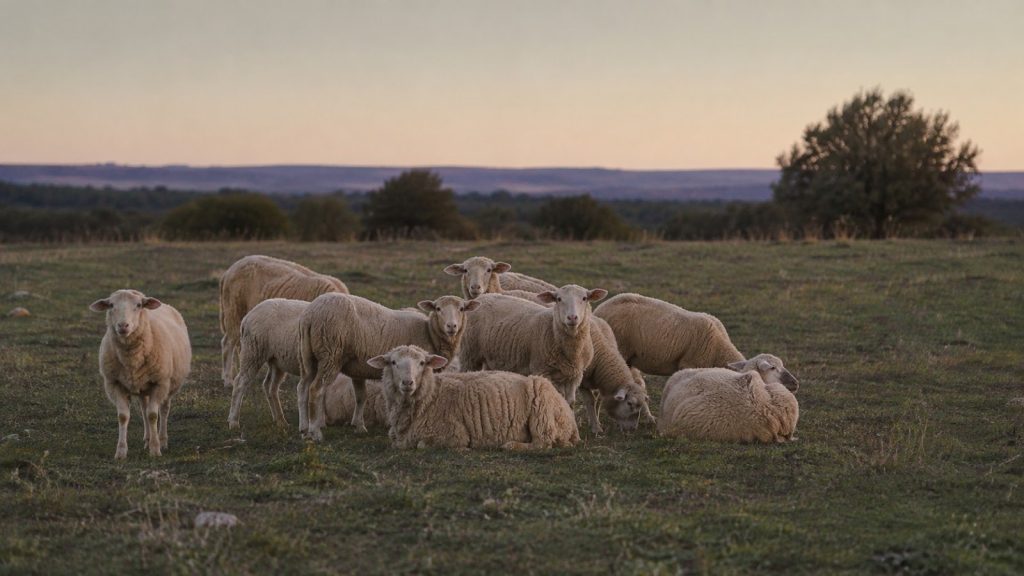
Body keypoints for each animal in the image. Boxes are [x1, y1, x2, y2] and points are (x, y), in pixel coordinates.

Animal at [89, 289, 191, 459]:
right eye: (111, 305)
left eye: (138, 305)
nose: (123, 325)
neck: (131, 360)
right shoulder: (114, 384)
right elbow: (123, 416)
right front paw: (121, 451)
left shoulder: (159, 383)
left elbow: (153, 415)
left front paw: (155, 449)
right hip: (143, 387)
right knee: (144, 408)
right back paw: (147, 438)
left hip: (169, 385)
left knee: (164, 409)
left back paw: (162, 440)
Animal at [298, 293, 480, 440]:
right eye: (438, 308)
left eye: (462, 309)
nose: (451, 326)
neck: (430, 333)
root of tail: (310, 314)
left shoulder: (358, 369)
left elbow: (361, 397)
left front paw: (359, 426)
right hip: (330, 353)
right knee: (315, 390)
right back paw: (315, 432)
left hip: (309, 357)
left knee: (302, 388)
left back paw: (304, 428)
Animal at [369, 345, 580, 450]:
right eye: (393, 362)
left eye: (422, 363)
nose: (407, 383)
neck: (432, 396)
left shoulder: (453, 434)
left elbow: (421, 445)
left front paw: (466, 449)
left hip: (542, 411)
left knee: (543, 443)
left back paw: (510, 445)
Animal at [457, 285, 608, 405]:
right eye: (558, 299)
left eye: (584, 298)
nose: (572, 317)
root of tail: (484, 297)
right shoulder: (541, 369)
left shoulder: (575, 376)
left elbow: (570, 402)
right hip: (469, 354)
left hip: (491, 357)